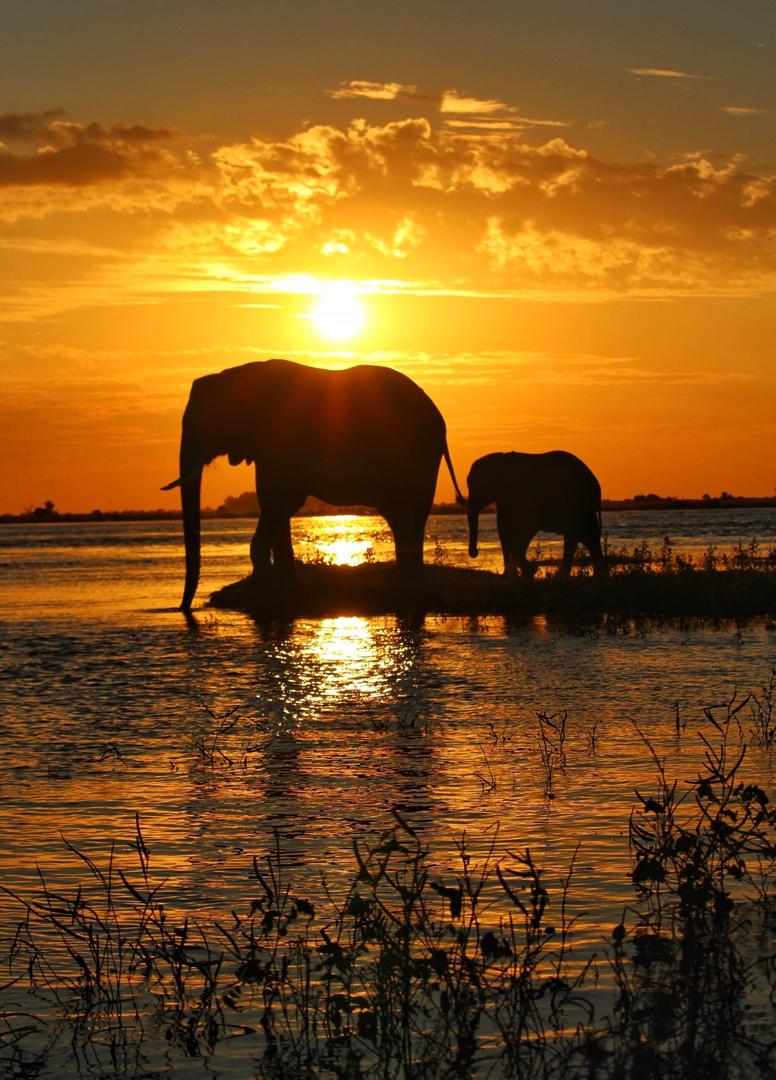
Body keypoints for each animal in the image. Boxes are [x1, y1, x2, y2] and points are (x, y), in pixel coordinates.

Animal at [162, 359, 464, 610]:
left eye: (205, 423)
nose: (183, 609)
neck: (237, 376)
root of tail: (441, 424)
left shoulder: (281, 436)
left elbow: (276, 499)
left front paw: (275, 587)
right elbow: (278, 503)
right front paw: (280, 584)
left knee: (401, 512)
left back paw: (407, 587)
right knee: (409, 515)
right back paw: (408, 585)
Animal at [465, 450, 606, 577]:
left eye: (475, 487)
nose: (475, 552)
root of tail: (596, 485)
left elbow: (523, 528)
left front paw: (529, 571)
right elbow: (505, 528)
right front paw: (516, 573)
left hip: (579, 504)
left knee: (585, 535)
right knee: (580, 536)